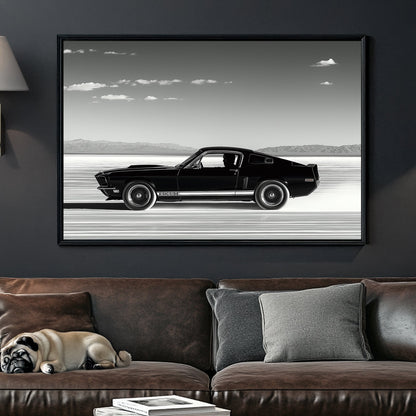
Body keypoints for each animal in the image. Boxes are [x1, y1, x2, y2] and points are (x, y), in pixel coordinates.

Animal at [0, 330, 131, 376]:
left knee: (111, 363)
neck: (41, 346)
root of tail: (112, 348)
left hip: (93, 348)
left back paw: (97, 366)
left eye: (21, 354)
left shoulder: (58, 363)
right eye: (4, 364)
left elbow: (43, 362)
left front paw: (47, 368)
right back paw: (88, 364)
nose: (12, 363)